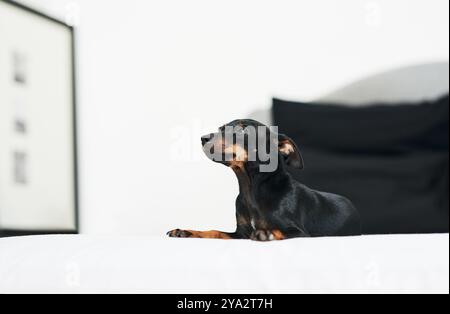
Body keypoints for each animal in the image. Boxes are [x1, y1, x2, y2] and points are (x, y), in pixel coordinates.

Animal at [167, 118, 360, 240]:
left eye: (242, 129)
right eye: (221, 128)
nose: (203, 138)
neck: (250, 188)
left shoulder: (300, 233)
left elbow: (279, 231)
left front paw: (267, 233)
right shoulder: (241, 234)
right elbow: (214, 231)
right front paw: (186, 231)